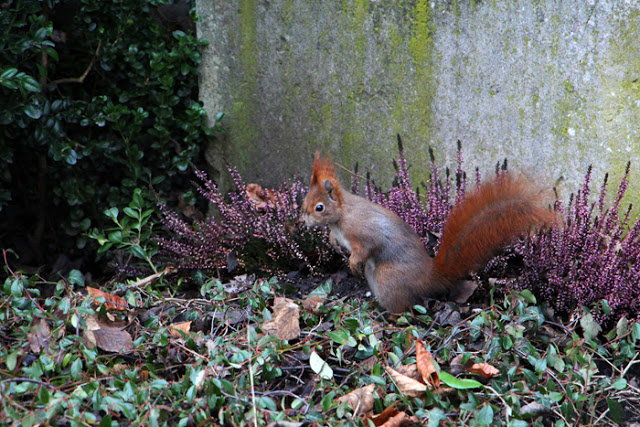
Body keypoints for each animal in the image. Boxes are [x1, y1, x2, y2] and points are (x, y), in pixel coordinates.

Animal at [302, 152, 556, 312]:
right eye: (305, 200)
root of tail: (428, 278)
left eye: (319, 207)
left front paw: (352, 263)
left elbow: (364, 249)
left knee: (403, 308)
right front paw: (333, 242)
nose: (302, 219)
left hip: (387, 276)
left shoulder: (363, 231)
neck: (341, 217)